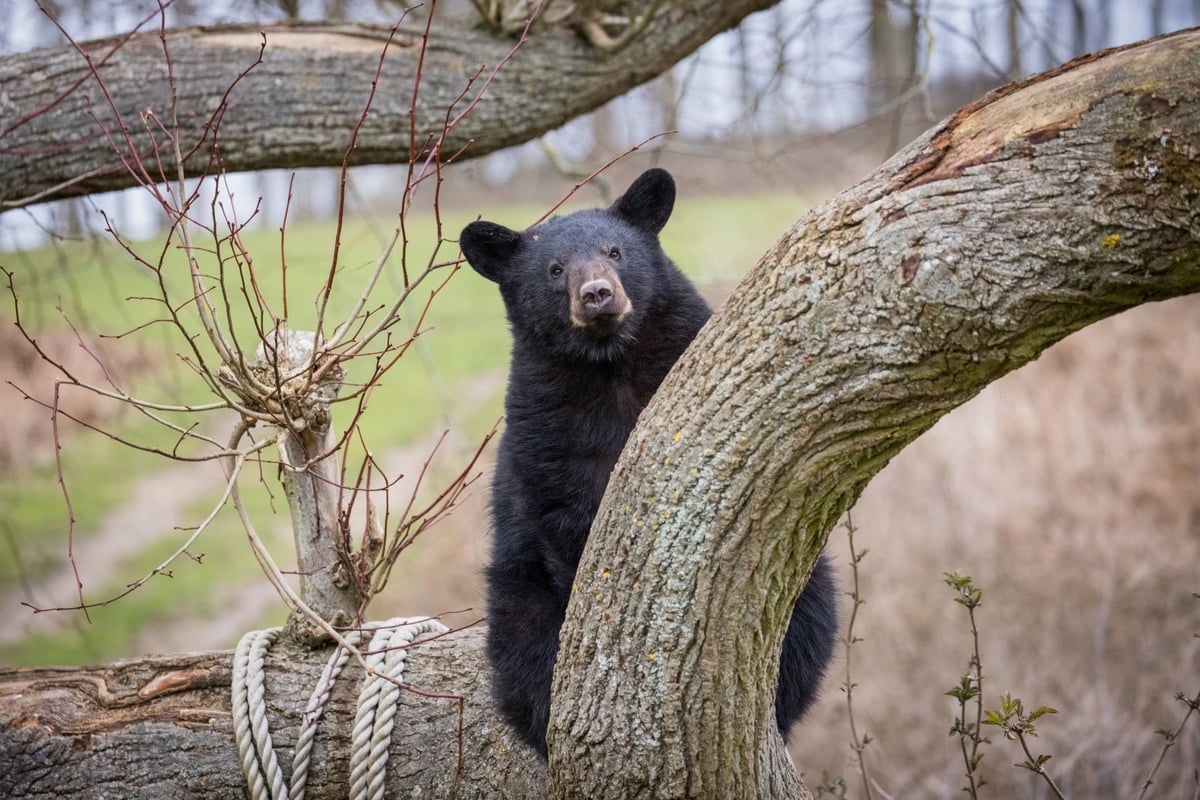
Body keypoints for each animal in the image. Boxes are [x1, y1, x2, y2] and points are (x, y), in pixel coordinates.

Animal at [459, 168, 838, 758]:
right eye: (555, 269)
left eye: (614, 251)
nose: (597, 294)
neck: (610, 364)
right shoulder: (544, 422)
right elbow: (563, 510)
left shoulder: (685, 352)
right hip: (514, 592)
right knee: (522, 652)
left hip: (810, 586)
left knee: (808, 632)